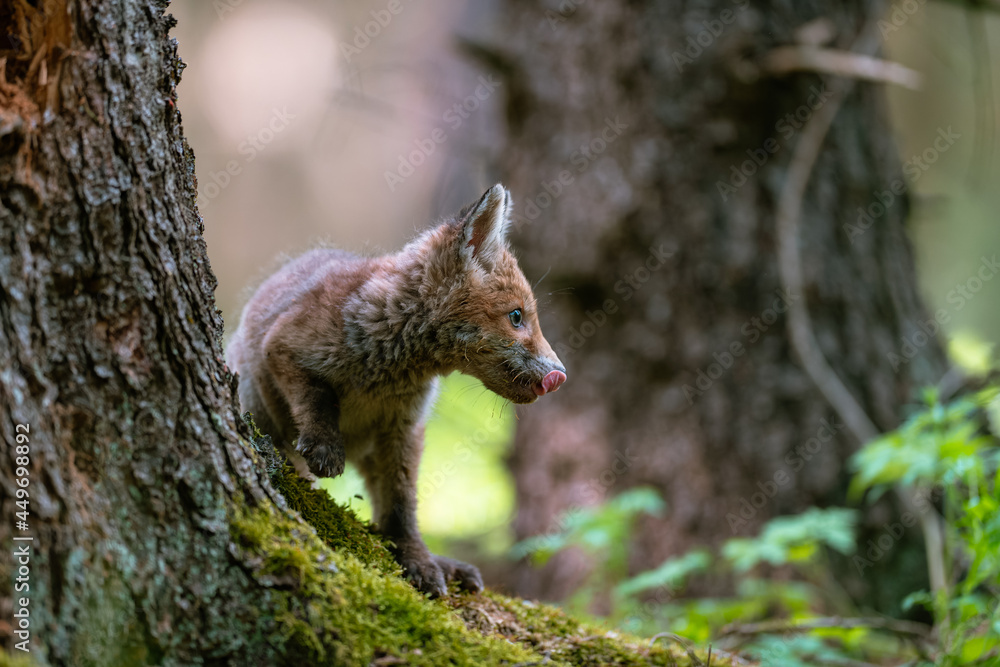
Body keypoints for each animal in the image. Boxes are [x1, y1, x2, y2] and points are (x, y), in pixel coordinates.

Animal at [226, 184, 566, 596]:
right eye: (517, 317)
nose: (560, 375)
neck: (386, 374)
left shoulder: (403, 429)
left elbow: (401, 506)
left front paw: (417, 559)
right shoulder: (281, 346)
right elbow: (316, 398)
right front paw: (324, 443)